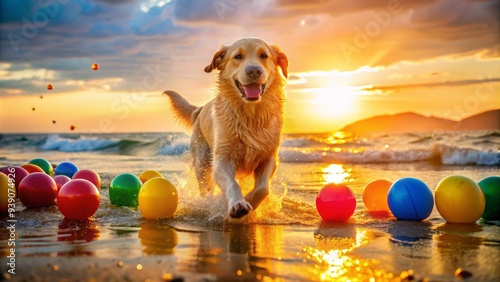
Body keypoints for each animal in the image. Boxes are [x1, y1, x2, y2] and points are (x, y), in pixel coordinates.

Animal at [164, 37, 290, 218]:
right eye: (237, 56)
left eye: (264, 55)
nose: (254, 71)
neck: (250, 116)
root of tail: (200, 109)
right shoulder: (222, 159)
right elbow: (232, 184)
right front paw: (238, 204)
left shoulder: (268, 157)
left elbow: (263, 188)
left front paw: (249, 199)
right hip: (202, 160)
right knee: (205, 186)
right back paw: (208, 202)